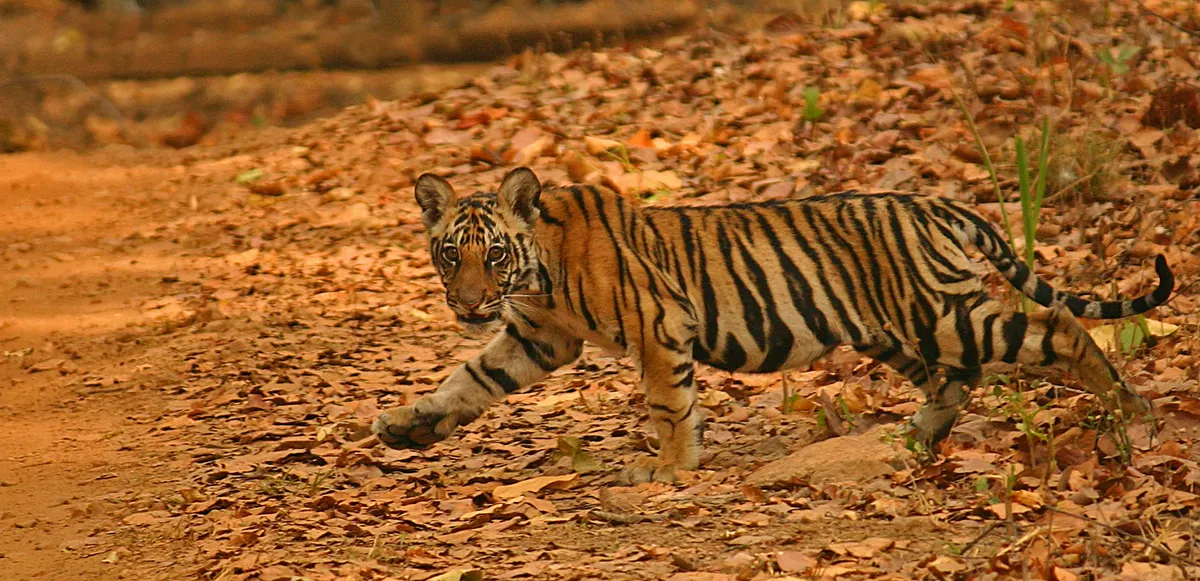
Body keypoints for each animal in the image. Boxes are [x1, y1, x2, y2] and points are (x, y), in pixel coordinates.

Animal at [372, 166, 1174, 483]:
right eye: (450, 253)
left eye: (494, 254)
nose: (468, 305)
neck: (540, 268)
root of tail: (937, 203)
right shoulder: (539, 335)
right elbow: (470, 379)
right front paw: (409, 425)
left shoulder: (657, 324)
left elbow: (669, 405)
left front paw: (670, 468)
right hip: (891, 328)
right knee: (957, 379)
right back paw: (914, 438)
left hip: (941, 313)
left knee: (1058, 330)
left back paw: (1128, 409)